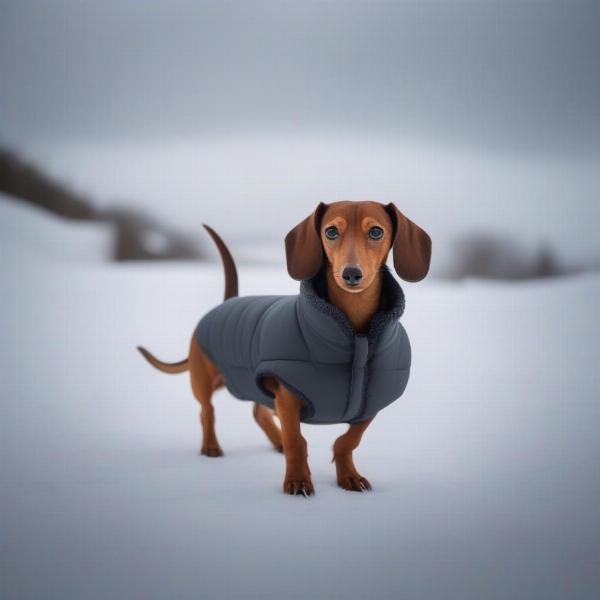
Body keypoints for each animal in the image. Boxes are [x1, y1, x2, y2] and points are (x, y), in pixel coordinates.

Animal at [139, 202, 432, 496]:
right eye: (331, 231)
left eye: (376, 232)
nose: (351, 274)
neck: (354, 335)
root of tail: (224, 304)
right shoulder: (288, 396)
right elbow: (297, 441)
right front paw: (297, 480)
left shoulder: (370, 406)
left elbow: (348, 440)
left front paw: (349, 476)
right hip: (204, 381)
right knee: (207, 412)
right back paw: (211, 446)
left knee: (258, 412)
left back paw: (275, 440)